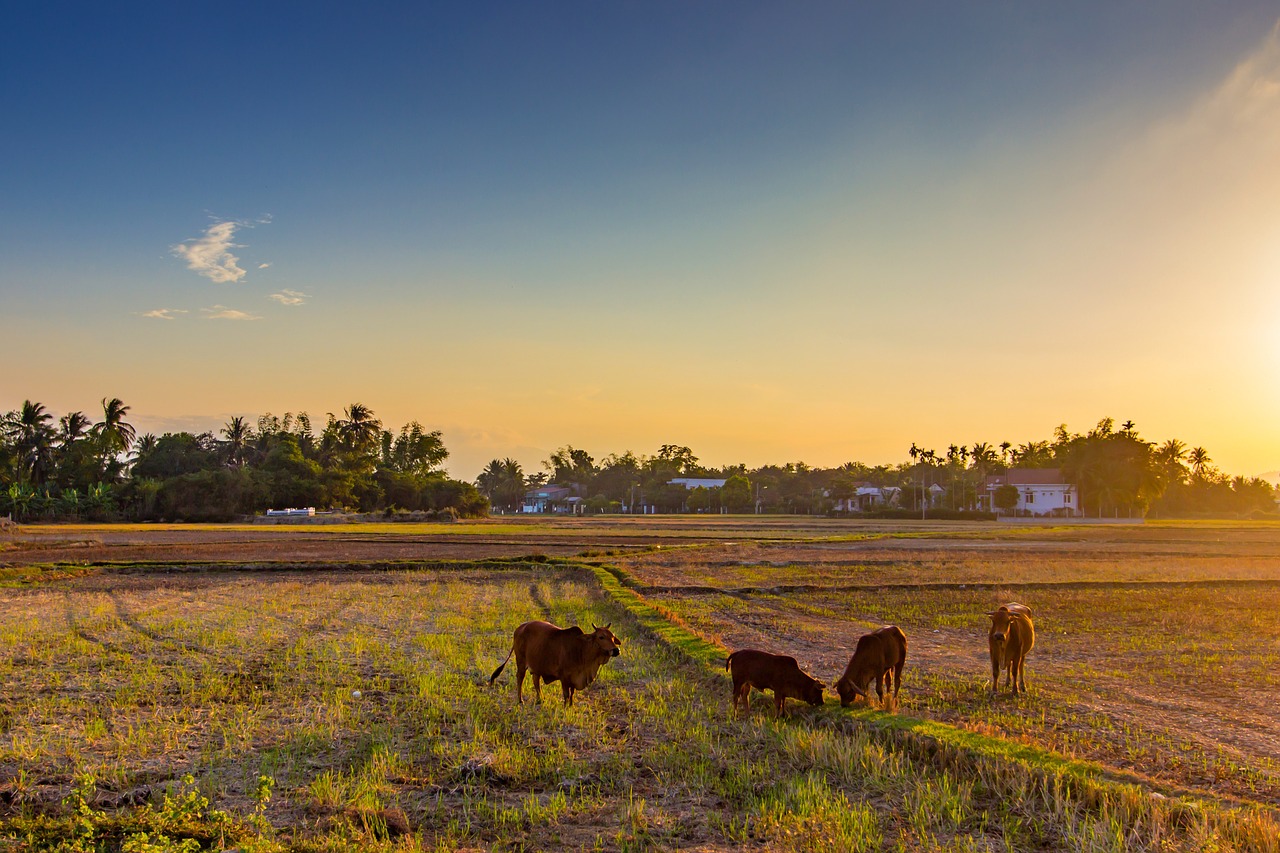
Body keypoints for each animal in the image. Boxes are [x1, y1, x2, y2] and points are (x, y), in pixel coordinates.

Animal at [488, 617, 619, 701]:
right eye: (601, 637)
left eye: (613, 637)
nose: (616, 650)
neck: (581, 649)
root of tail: (520, 628)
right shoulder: (564, 678)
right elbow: (566, 695)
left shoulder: (573, 678)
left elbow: (571, 695)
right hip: (520, 662)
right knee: (520, 678)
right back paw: (520, 700)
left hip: (536, 665)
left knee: (536, 681)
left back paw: (540, 699)